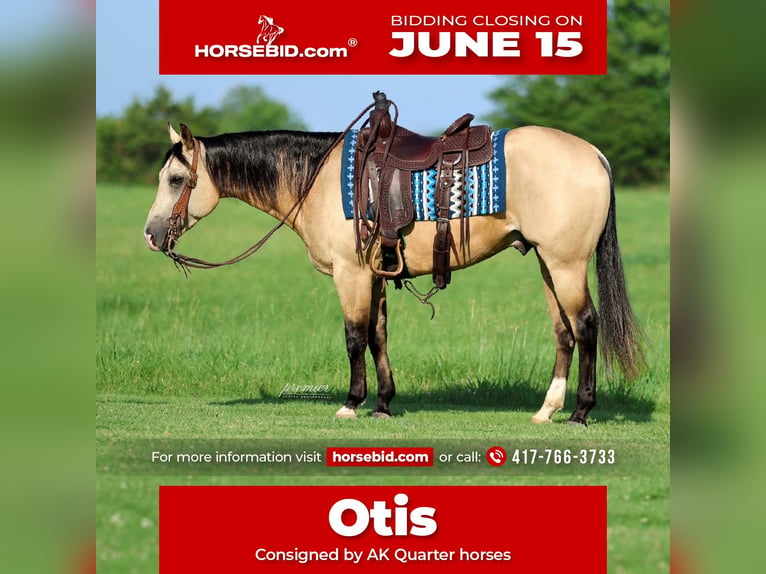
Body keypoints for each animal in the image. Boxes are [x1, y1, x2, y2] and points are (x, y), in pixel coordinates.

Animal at [143, 120, 644, 426]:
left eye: (175, 180)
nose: (150, 235)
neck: (317, 179)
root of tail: (594, 155)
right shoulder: (376, 275)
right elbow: (378, 336)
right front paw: (383, 403)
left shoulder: (350, 274)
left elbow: (353, 337)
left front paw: (351, 403)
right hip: (547, 262)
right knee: (564, 332)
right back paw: (547, 410)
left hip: (566, 264)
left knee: (586, 326)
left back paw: (580, 412)